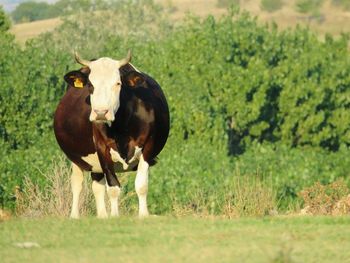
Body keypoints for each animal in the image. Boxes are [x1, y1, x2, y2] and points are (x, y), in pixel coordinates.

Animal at [53, 50, 170, 220]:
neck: (122, 129)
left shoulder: (148, 147)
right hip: (77, 158)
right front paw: (114, 216)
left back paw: (102, 215)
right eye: (90, 85)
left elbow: (141, 185)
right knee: (77, 183)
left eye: (117, 83)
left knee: (97, 185)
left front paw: (143, 214)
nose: (101, 112)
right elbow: (113, 187)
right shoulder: (102, 148)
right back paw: (75, 216)